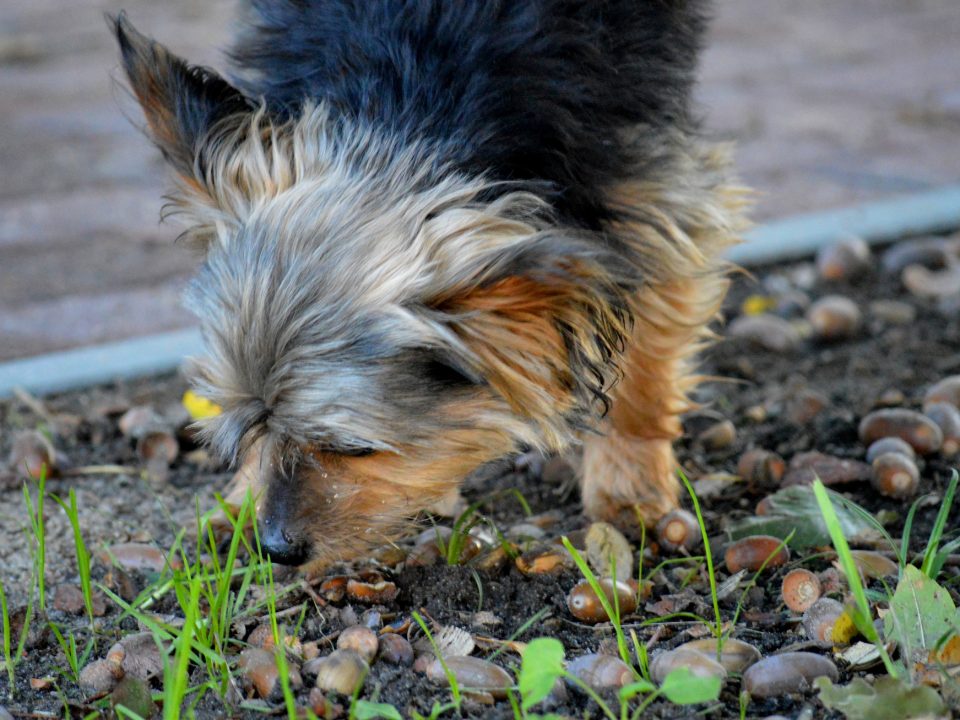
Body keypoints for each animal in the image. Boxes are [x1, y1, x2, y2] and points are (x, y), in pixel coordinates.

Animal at [110, 2, 744, 572]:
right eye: (249, 424)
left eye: (354, 448)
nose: (277, 549)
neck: (409, 101)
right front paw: (243, 495)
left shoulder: (646, 189)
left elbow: (643, 357)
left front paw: (629, 484)